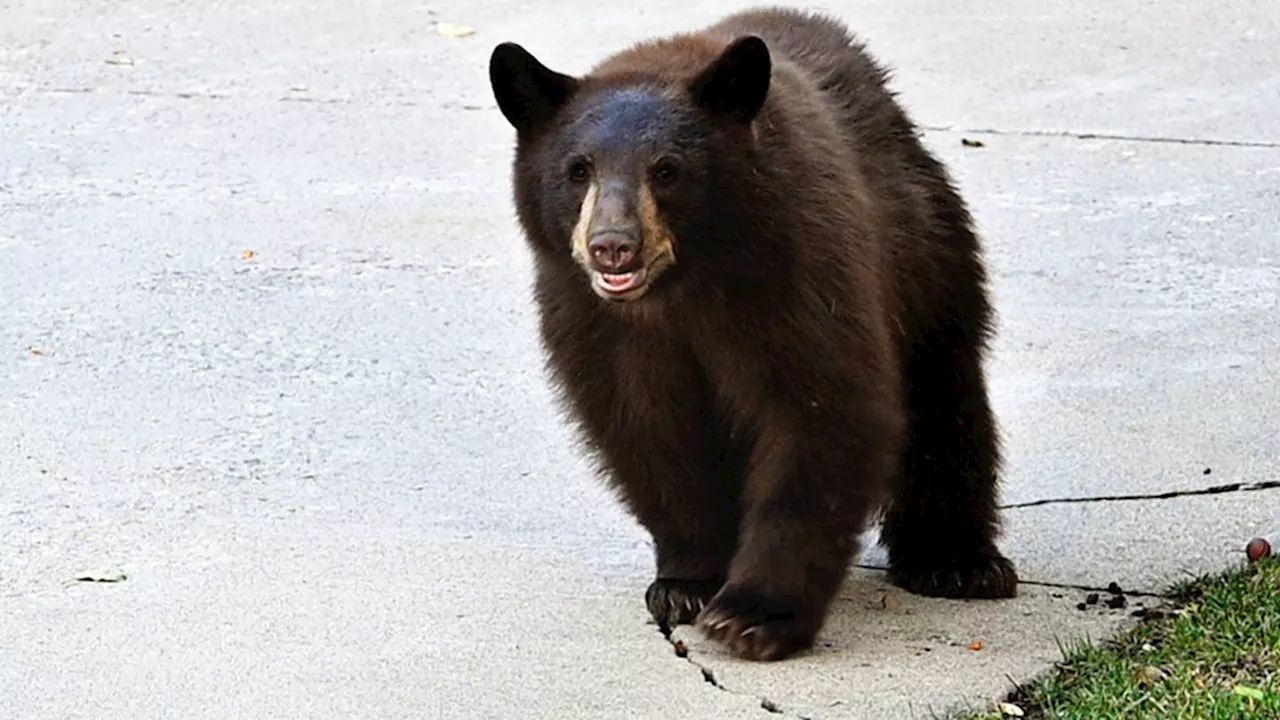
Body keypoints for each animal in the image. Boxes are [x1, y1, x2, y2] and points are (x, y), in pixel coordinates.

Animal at [486, 5, 1018, 661]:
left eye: (667, 169)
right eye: (577, 170)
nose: (613, 245)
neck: (682, 294)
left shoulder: (798, 272)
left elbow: (820, 411)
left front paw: (754, 614)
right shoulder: (594, 322)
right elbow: (648, 430)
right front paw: (687, 583)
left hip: (926, 255)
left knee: (945, 396)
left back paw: (956, 562)